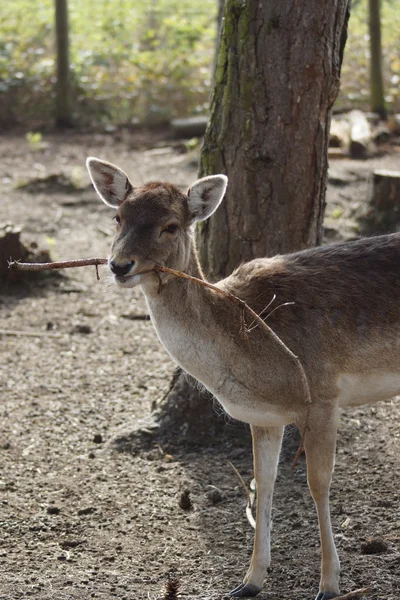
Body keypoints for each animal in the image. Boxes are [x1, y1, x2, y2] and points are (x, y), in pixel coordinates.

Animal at [86, 157, 398, 596]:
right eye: (118, 218)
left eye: (171, 225)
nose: (119, 265)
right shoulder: (264, 416)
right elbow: (262, 483)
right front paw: (249, 581)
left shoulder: (323, 395)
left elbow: (318, 484)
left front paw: (329, 585)